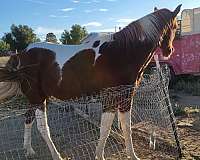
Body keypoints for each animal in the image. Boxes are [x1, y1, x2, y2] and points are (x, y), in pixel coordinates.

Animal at [0, 5, 181, 160]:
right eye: (175, 27)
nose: (169, 50)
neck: (122, 52)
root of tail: (22, 54)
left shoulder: (118, 98)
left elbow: (113, 128)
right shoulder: (117, 97)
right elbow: (116, 128)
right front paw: (124, 155)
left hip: (35, 98)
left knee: (28, 119)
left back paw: (29, 150)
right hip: (38, 99)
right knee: (43, 128)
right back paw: (56, 155)